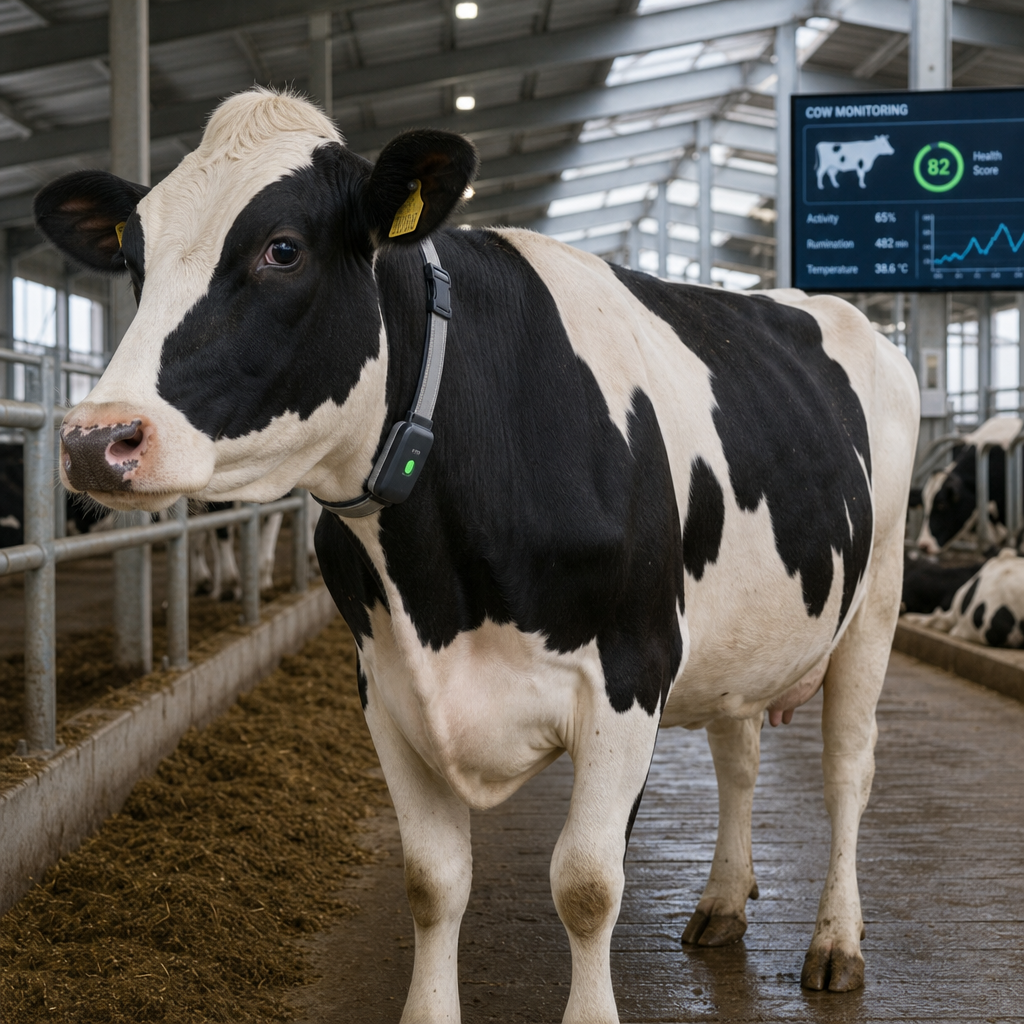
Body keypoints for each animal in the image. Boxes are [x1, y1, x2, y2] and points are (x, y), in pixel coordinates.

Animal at [32, 90, 918, 1021]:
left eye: (283, 249)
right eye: (134, 258)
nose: (95, 440)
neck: (441, 582)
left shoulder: (630, 672)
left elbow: (588, 883)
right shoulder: (385, 683)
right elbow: (433, 881)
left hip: (878, 597)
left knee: (846, 769)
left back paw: (836, 944)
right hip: (739, 635)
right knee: (738, 754)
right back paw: (721, 902)